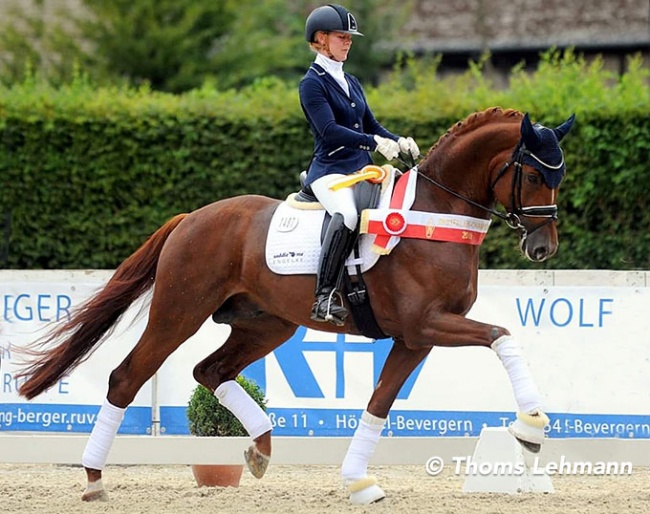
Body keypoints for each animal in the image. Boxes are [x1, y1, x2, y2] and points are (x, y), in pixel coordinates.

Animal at [16, 106, 572, 502]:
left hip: (267, 324)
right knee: (127, 378)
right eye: (534, 175)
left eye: (559, 178)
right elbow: (502, 337)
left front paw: (358, 482)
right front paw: (530, 427)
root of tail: (191, 217)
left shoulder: (415, 338)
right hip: (179, 312)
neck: (436, 216)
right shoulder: (428, 324)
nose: (543, 249)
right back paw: (93, 480)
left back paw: (260, 448)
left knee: (210, 371)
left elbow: (379, 404)